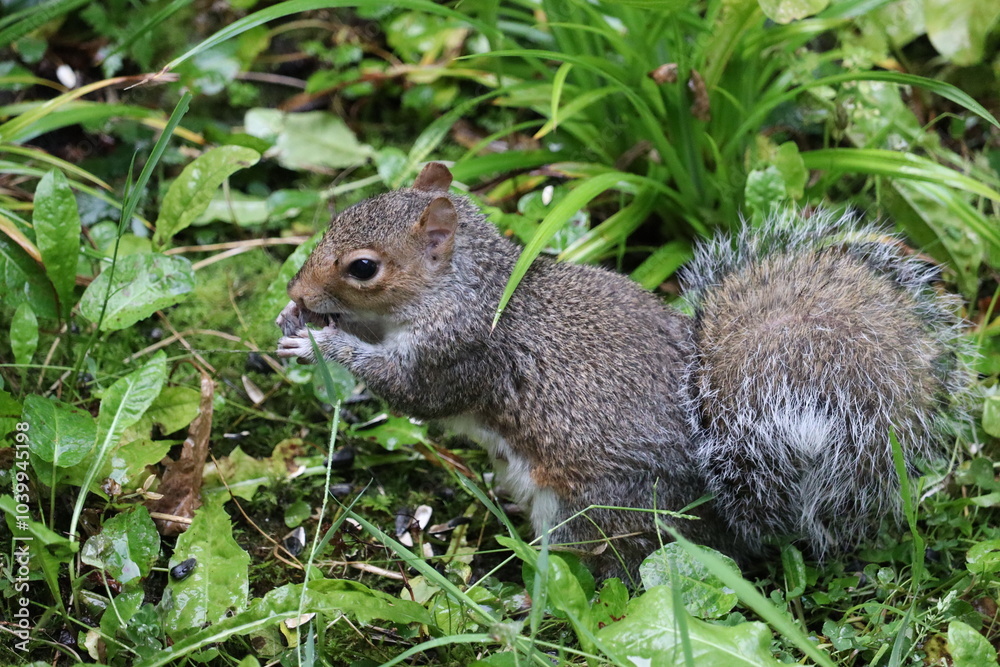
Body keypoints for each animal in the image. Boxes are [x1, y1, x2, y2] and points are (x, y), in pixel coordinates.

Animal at [276, 162, 970, 581]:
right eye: (343, 214)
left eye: (363, 267)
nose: (296, 288)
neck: (472, 287)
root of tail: (725, 520)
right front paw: (295, 318)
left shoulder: (463, 353)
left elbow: (412, 394)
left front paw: (321, 342)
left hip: (590, 509)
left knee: (612, 569)